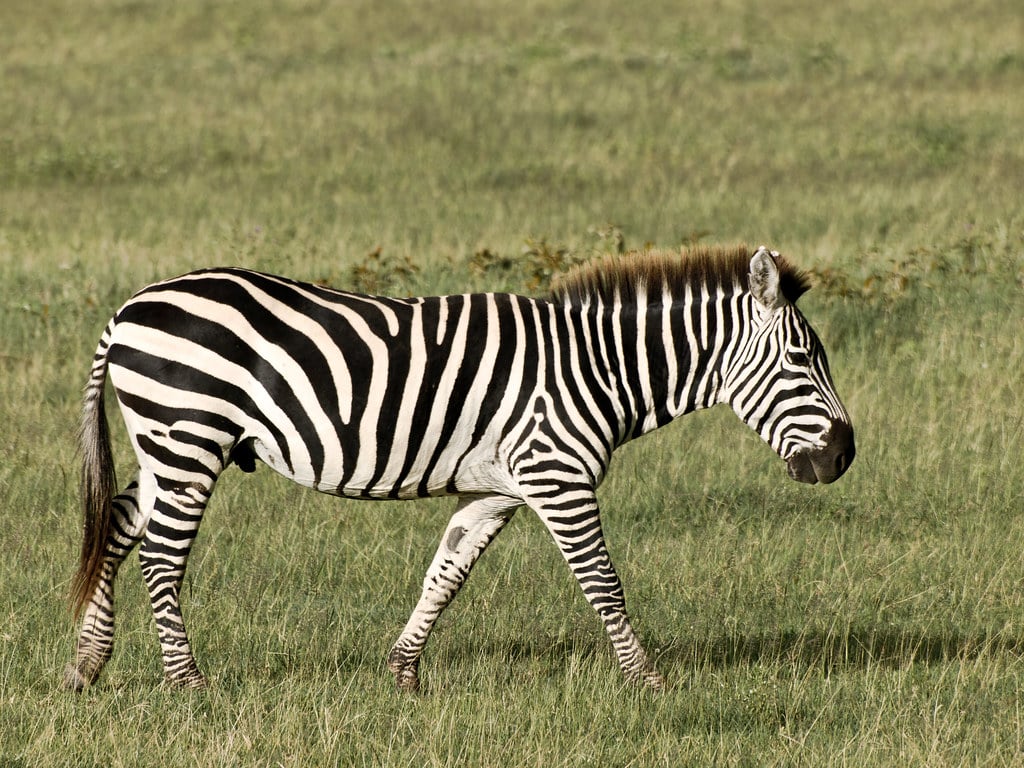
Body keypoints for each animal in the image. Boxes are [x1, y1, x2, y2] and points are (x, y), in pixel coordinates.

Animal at [65, 244, 854, 692]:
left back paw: (87, 665)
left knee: (117, 528)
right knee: (161, 557)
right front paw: (649, 683)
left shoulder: (495, 490)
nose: (844, 456)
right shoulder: (557, 477)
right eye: (800, 359)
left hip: (163, 443)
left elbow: (444, 576)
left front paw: (404, 673)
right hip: (188, 436)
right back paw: (187, 683)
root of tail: (128, 308)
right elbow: (604, 583)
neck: (597, 367)